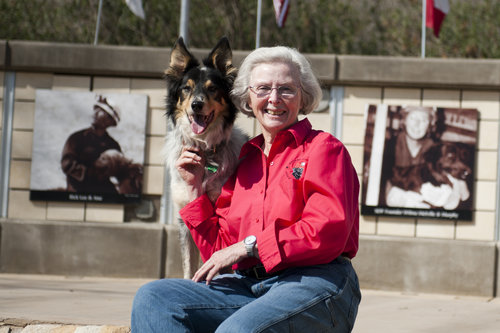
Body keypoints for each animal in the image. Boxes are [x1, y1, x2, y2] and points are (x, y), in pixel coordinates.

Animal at [164, 37, 248, 278]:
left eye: (212, 88)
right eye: (187, 88)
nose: (196, 104)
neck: (204, 149)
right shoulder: (185, 215)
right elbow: (189, 265)